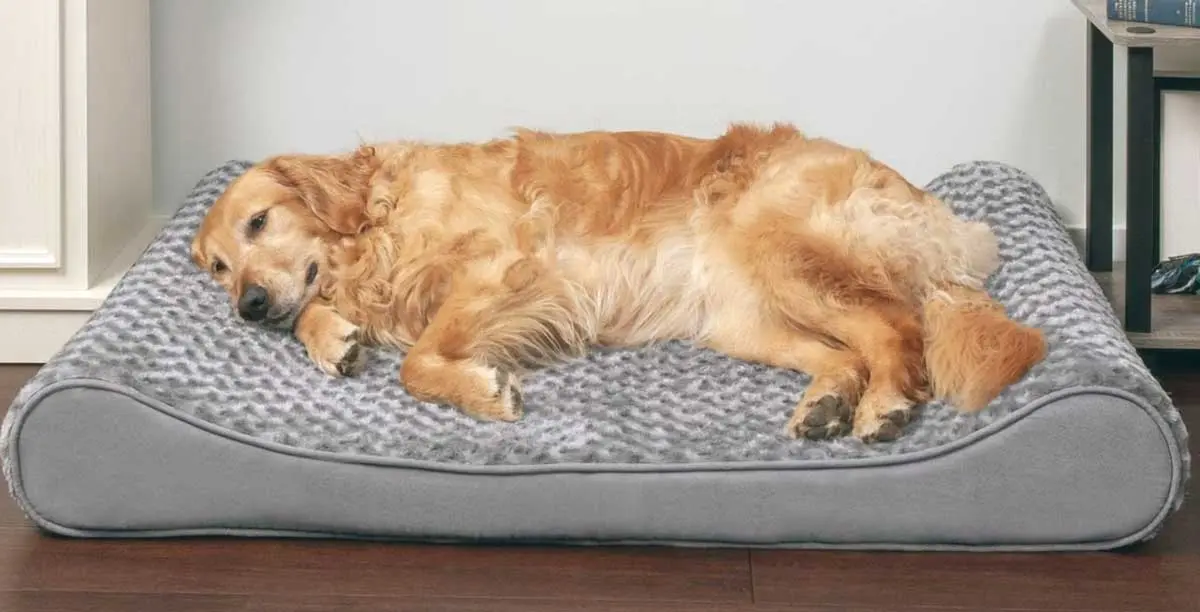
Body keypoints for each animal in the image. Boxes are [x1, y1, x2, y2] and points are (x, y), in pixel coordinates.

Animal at [192, 123, 1046, 439]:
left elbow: (419, 360)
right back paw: (831, 403)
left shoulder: (506, 263)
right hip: (741, 317)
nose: (248, 307)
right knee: (848, 349)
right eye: (217, 267)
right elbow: (325, 317)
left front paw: (481, 390)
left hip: (782, 253)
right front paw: (330, 337)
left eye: (260, 221)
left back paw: (887, 406)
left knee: (896, 325)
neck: (377, 221)